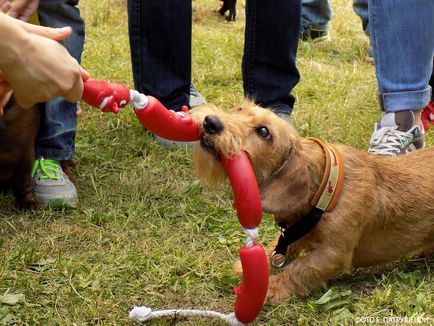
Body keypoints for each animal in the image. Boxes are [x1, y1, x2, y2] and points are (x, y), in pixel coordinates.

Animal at [192, 104, 434, 304]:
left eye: (264, 131)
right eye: (239, 108)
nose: (210, 122)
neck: (327, 190)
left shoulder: (332, 255)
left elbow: (299, 269)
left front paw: (273, 286)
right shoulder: (292, 234)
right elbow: (277, 248)